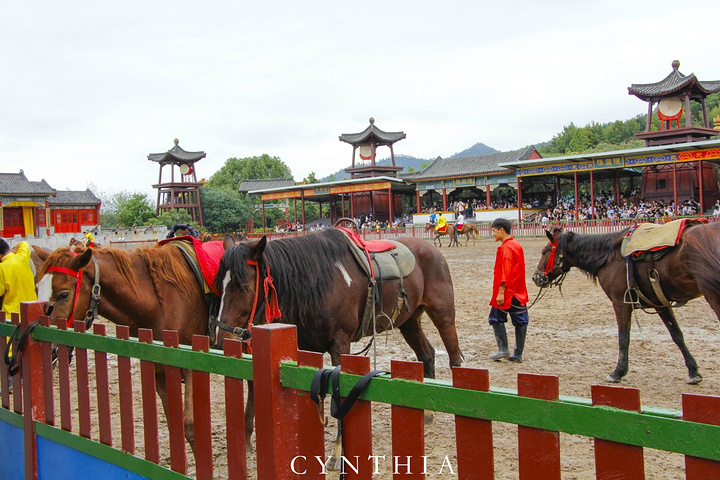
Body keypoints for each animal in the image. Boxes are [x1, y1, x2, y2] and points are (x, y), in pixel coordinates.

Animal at [35, 244, 221, 450]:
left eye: (63, 295)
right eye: (37, 289)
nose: (48, 349)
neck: (160, 303)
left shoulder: (191, 368)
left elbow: (190, 427)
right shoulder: (160, 371)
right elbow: (175, 425)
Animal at [214, 229, 464, 378]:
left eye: (244, 287)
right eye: (218, 286)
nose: (219, 339)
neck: (320, 280)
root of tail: (430, 249)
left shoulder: (340, 344)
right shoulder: (305, 346)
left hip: (442, 313)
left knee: (454, 355)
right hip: (409, 320)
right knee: (426, 354)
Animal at [532, 223, 720, 384]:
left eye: (544, 251)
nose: (536, 277)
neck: (609, 256)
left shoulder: (620, 303)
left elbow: (624, 337)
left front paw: (618, 372)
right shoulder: (661, 304)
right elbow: (677, 335)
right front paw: (693, 371)